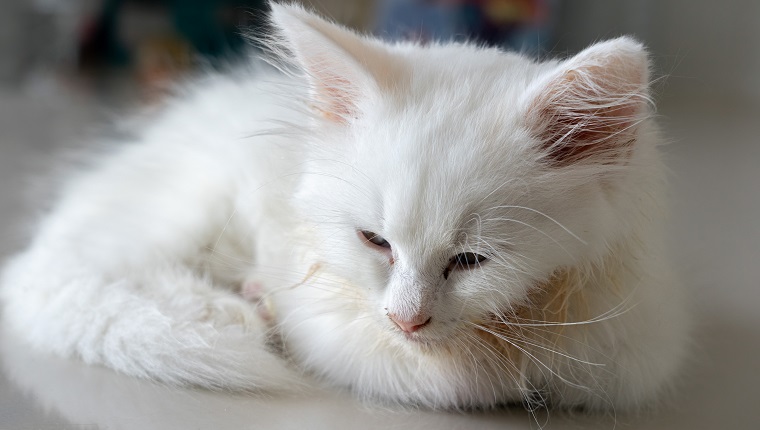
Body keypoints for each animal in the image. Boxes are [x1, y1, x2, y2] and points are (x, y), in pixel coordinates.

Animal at [0, 4, 688, 414]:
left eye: (471, 260)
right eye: (375, 242)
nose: (408, 319)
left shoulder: (631, 342)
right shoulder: (327, 314)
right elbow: (434, 378)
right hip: (182, 204)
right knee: (87, 273)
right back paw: (232, 306)